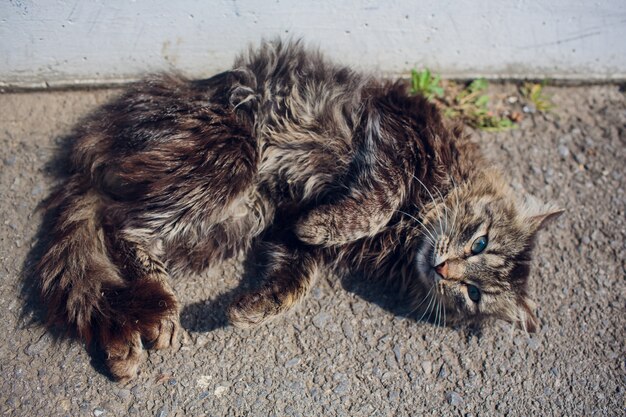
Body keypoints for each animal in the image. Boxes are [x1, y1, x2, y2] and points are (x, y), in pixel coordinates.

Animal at [33, 39, 560, 380]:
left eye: (473, 294)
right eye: (480, 241)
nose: (445, 269)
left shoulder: (284, 230)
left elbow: (293, 280)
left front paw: (252, 309)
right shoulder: (397, 129)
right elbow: (380, 197)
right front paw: (327, 225)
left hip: (237, 219)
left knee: (112, 248)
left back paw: (127, 337)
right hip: (231, 155)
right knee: (122, 226)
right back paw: (155, 313)